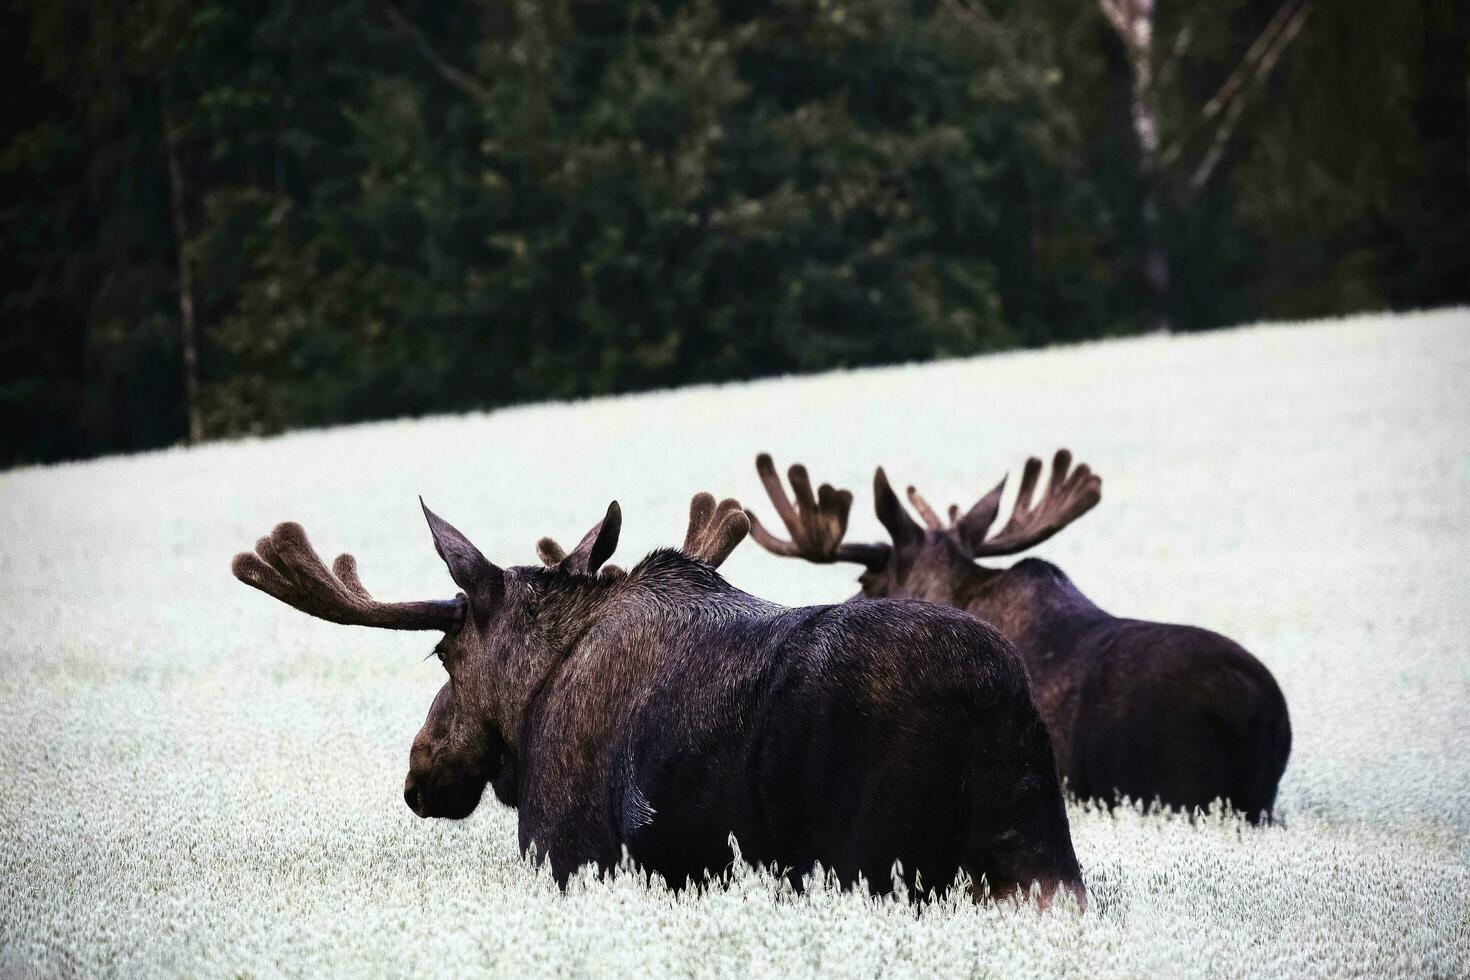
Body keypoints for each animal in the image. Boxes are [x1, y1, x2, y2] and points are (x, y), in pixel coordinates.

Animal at [235, 493, 1087, 910]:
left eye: (443, 653)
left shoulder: (570, 852)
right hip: (1040, 860)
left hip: (872, 863)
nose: (421, 773)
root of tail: (989, 703)